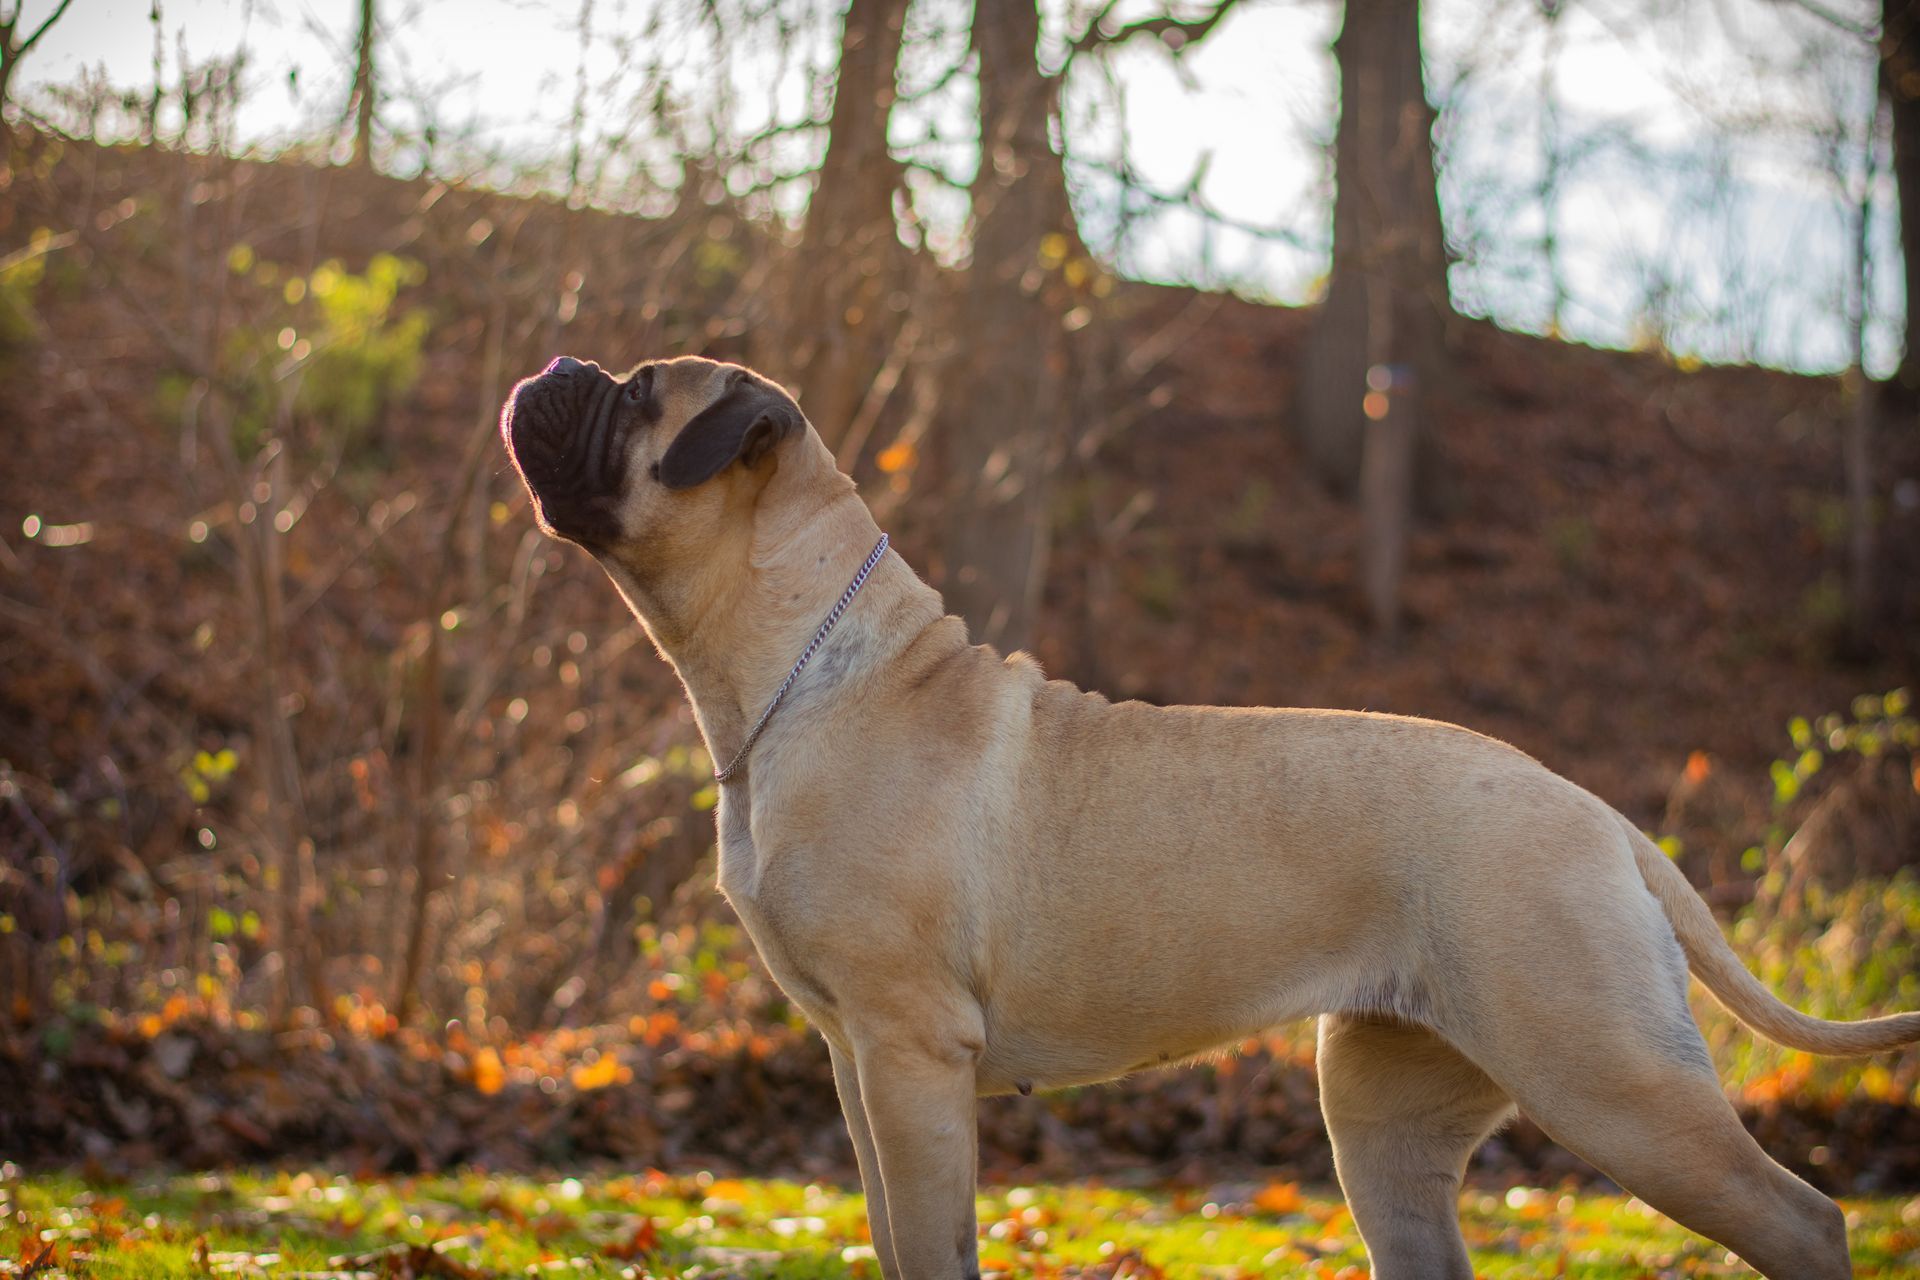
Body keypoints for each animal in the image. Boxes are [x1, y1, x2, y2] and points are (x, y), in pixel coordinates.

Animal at [499, 353, 1920, 1280]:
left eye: (636, 393)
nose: (554, 362)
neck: (811, 664)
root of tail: (1602, 817)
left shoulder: (910, 1053)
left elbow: (937, 1243)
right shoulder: (860, 1060)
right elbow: (900, 1237)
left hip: (1610, 1078)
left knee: (1805, 1218)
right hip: (1387, 1119)